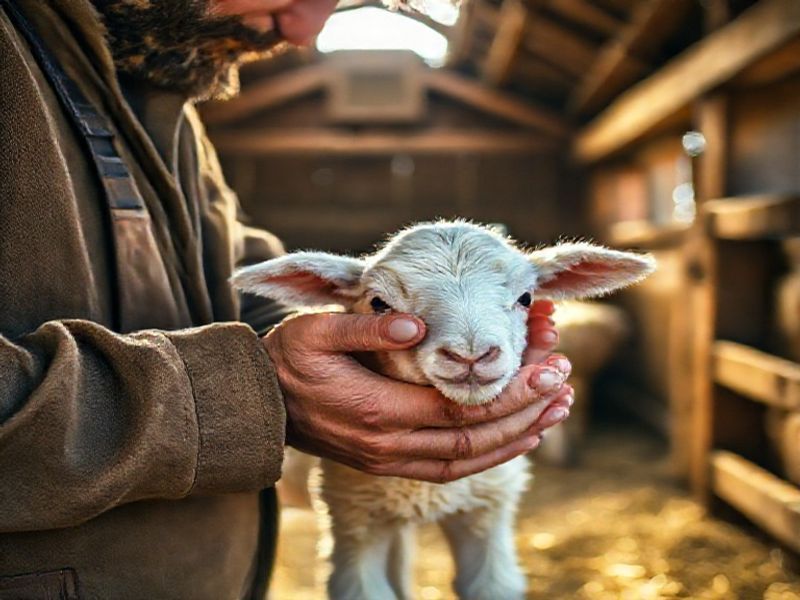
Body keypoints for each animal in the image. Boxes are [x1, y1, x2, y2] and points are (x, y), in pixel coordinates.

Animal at [232, 221, 655, 600]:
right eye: (380, 304)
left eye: (526, 298)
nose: (471, 355)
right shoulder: (352, 518)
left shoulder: (489, 510)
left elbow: (490, 584)